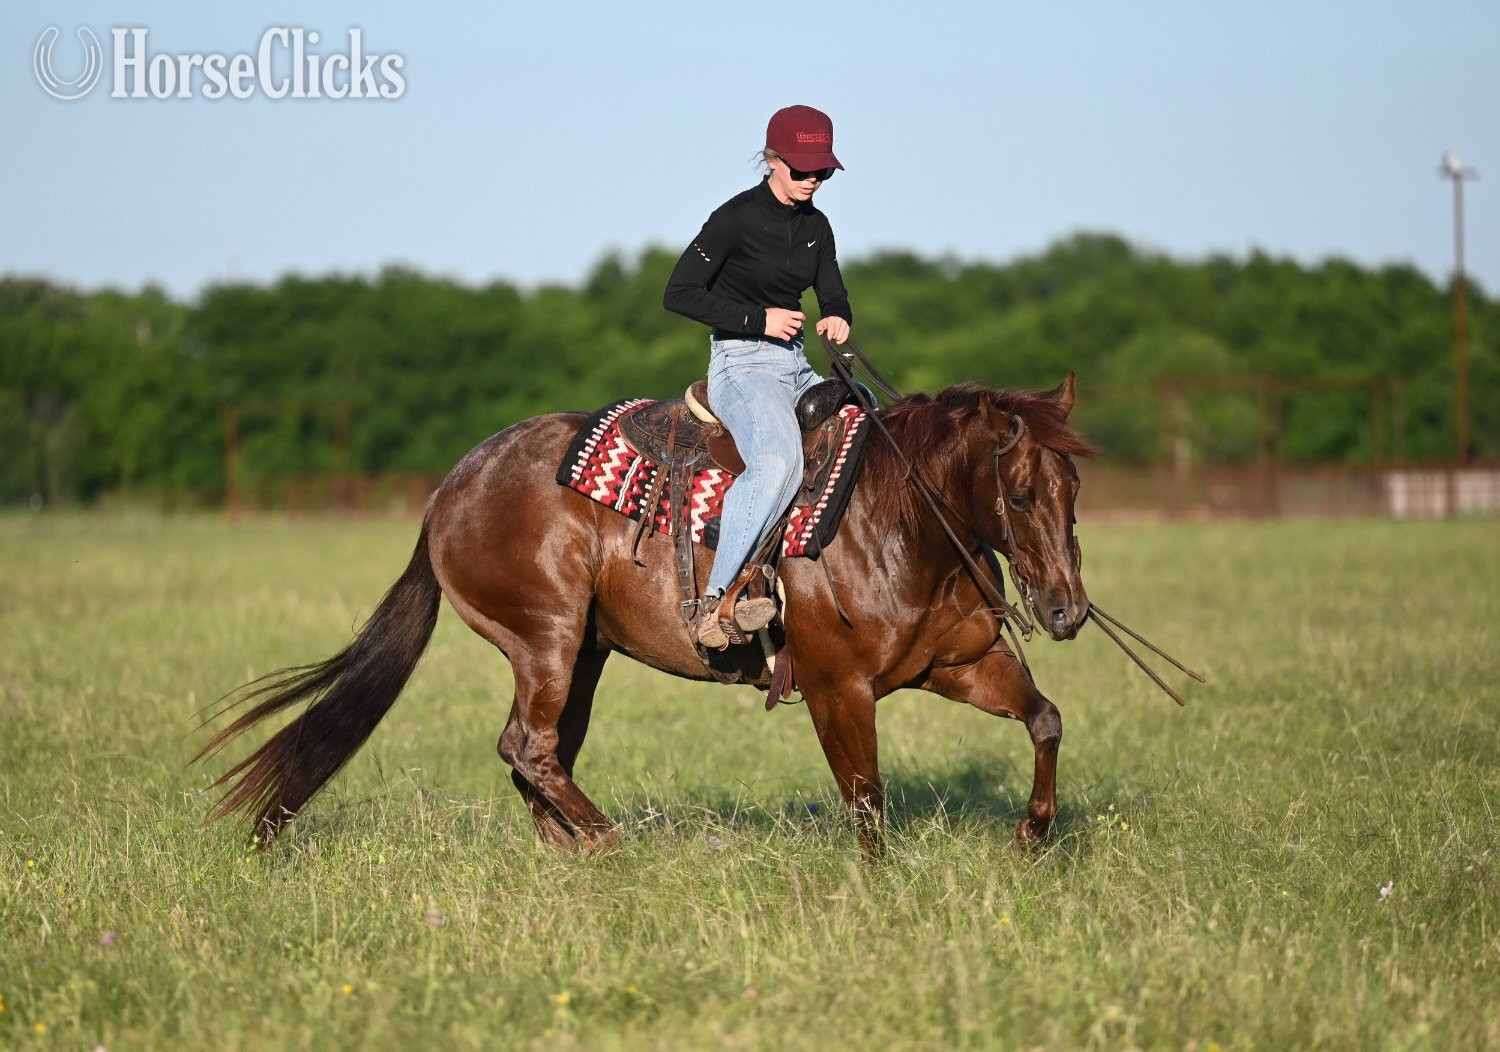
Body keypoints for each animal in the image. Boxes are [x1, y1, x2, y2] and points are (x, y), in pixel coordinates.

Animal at [199, 374, 1096, 860]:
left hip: (583, 657)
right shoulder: (838, 690)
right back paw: (606, 845)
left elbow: (1046, 718)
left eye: (1074, 488)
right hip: (547, 640)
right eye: (1020, 493)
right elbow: (867, 801)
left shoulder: (958, 665)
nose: (1066, 610)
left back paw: (570, 854)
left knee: (534, 754)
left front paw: (1033, 835)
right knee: (530, 746)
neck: (892, 518)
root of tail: (447, 490)